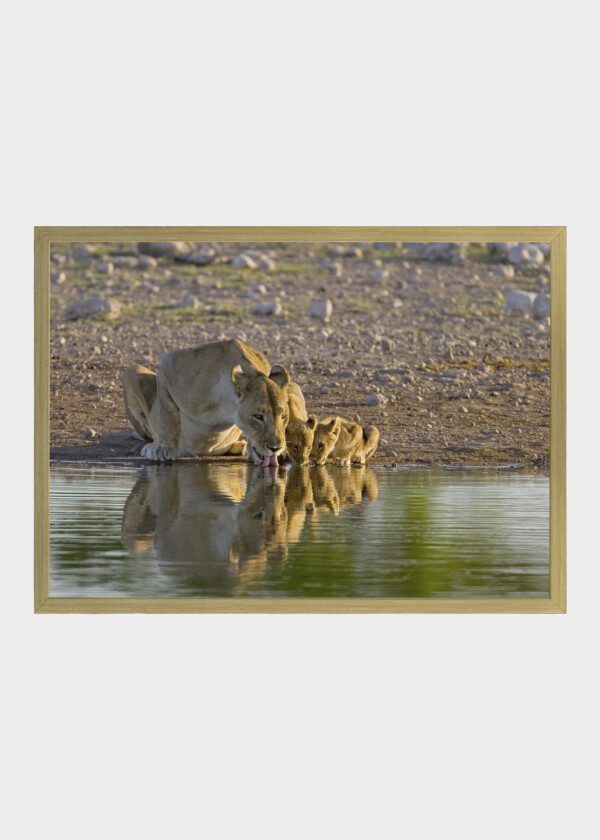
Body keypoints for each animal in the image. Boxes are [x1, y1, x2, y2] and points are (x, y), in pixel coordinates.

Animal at [122, 339, 291, 465]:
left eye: (283, 417)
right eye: (258, 416)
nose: (275, 448)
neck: (224, 405)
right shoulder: (169, 369)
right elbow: (168, 416)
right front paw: (162, 449)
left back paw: (240, 446)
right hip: (131, 371)